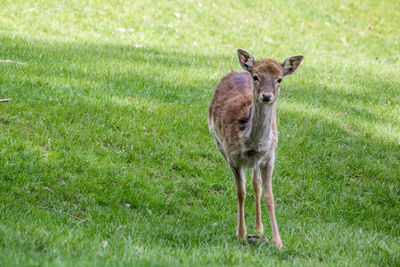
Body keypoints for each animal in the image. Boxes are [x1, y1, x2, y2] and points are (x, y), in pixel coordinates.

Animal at [209, 48, 304, 249]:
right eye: (256, 76)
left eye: (279, 79)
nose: (266, 95)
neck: (252, 143)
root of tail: (236, 71)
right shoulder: (233, 157)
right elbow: (240, 192)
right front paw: (241, 233)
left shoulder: (269, 157)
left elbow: (269, 196)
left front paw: (278, 242)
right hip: (219, 145)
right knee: (249, 184)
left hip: (256, 162)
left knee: (256, 184)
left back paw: (259, 227)